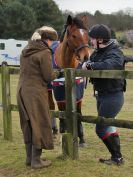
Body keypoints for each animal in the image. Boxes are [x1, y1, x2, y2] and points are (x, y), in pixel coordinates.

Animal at [48, 14, 91, 145]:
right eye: (74, 35)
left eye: (87, 35)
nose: (86, 57)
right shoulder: (58, 90)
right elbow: (61, 111)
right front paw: (64, 133)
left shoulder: (78, 91)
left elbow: (78, 112)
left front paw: (81, 138)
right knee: (52, 106)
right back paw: (55, 131)